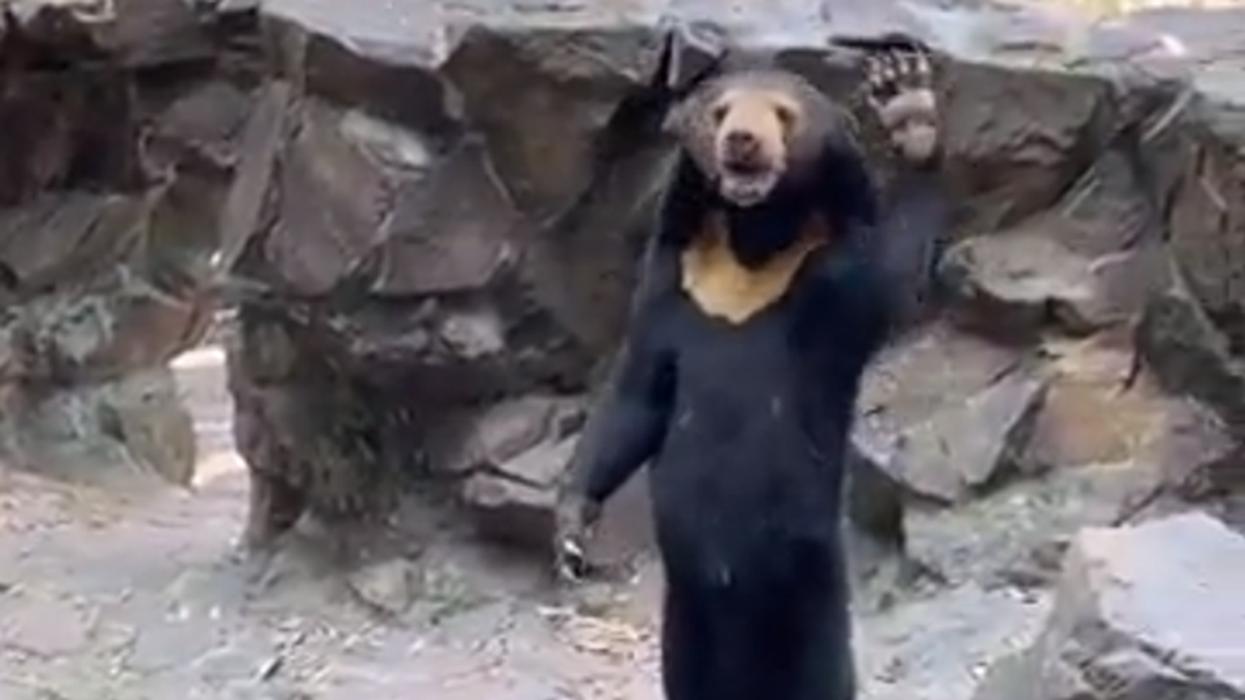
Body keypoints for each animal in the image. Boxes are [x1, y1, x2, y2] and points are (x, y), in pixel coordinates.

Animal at [553, 35, 949, 700]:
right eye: (719, 112)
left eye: (784, 115)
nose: (741, 141)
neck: (752, 244)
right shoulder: (676, 278)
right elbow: (639, 392)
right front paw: (571, 530)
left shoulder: (835, 278)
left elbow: (900, 278)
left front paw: (906, 101)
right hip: (683, 609)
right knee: (688, 672)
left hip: (809, 583)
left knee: (821, 671)